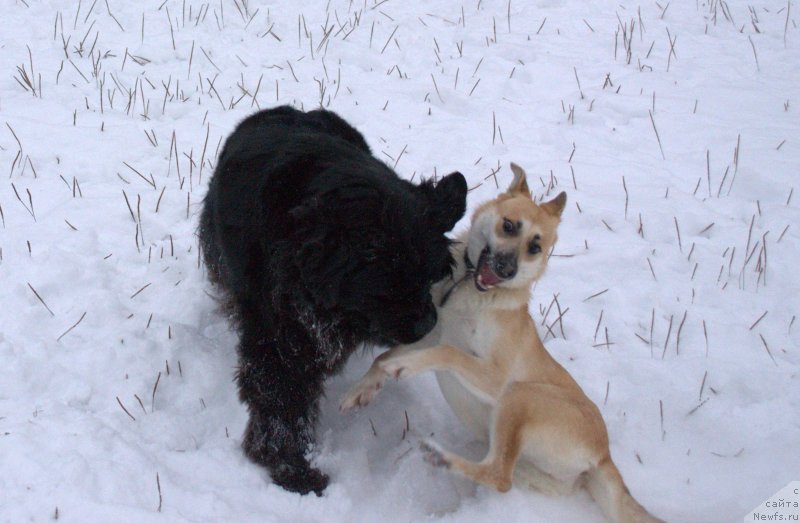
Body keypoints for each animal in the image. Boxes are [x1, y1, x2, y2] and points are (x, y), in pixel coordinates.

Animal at [198, 106, 468, 496]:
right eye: (387, 286)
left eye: (429, 278)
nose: (426, 325)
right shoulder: (278, 336)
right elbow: (279, 397)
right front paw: (291, 468)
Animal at [344, 166, 664, 523]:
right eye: (508, 225)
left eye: (535, 247)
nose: (506, 270)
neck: (470, 292)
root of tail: (606, 456)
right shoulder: (432, 335)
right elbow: (387, 357)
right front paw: (364, 387)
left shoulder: (492, 374)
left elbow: (448, 353)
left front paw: (403, 367)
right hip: (534, 468)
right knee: (504, 475)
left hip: (520, 396)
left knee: (498, 475)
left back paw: (443, 458)